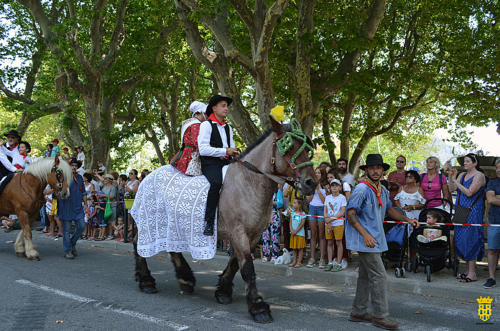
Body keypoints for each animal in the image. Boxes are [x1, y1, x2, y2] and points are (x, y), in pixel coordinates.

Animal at [133, 117, 316, 324]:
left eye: (308, 147)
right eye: (289, 147)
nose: (311, 183)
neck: (248, 182)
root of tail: (147, 176)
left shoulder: (252, 234)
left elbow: (236, 262)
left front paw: (223, 291)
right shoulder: (238, 232)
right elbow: (248, 268)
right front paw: (258, 307)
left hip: (171, 225)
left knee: (172, 248)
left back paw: (185, 280)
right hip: (149, 222)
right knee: (138, 243)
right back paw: (147, 281)